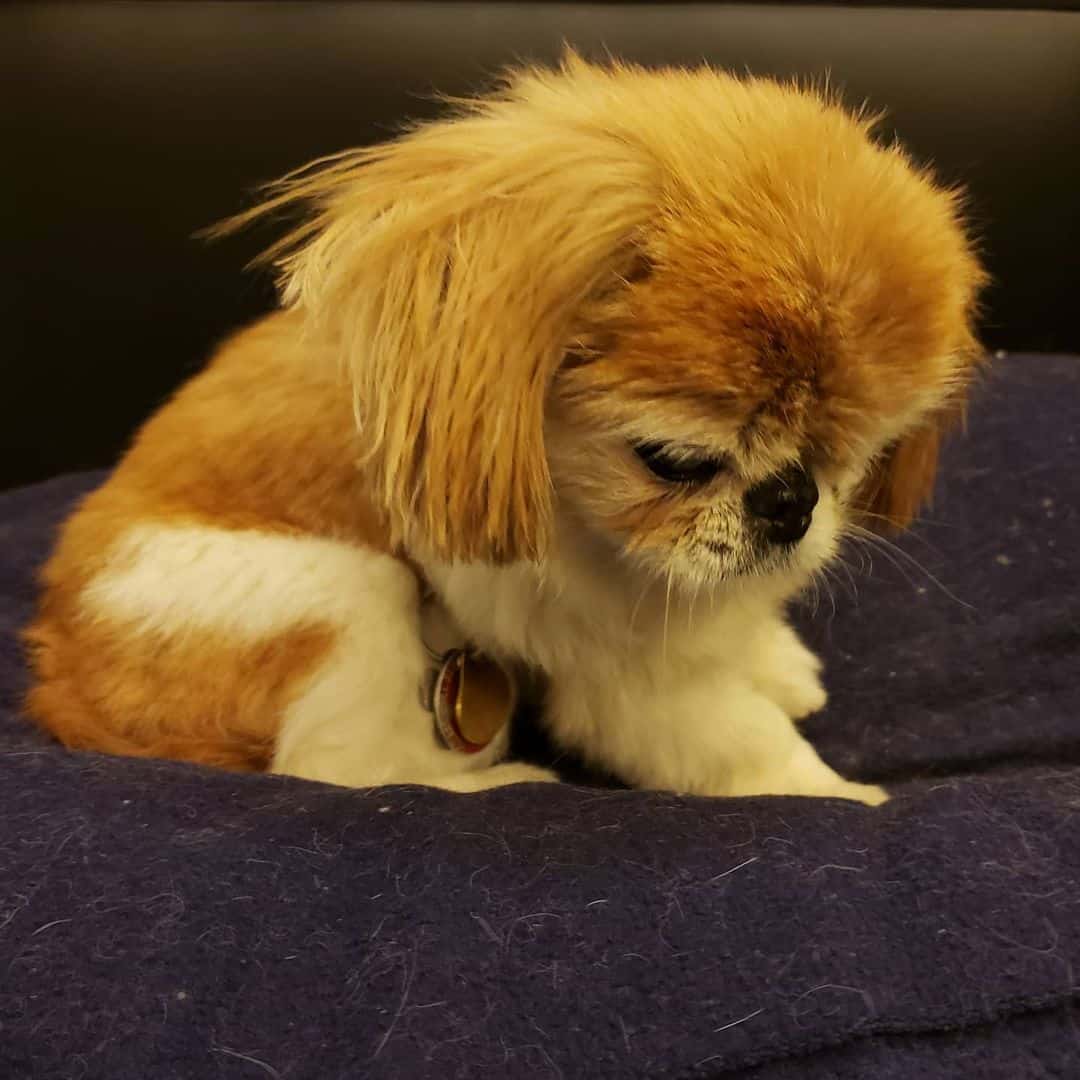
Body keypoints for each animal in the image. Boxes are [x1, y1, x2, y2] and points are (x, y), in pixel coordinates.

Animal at [23, 56, 989, 803]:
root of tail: (57, 680)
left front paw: (775, 659)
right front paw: (840, 797)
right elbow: (734, 738)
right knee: (341, 769)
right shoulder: (621, 672)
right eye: (674, 462)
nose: (790, 502)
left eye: (852, 458)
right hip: (335, 589)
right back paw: (497, 782)